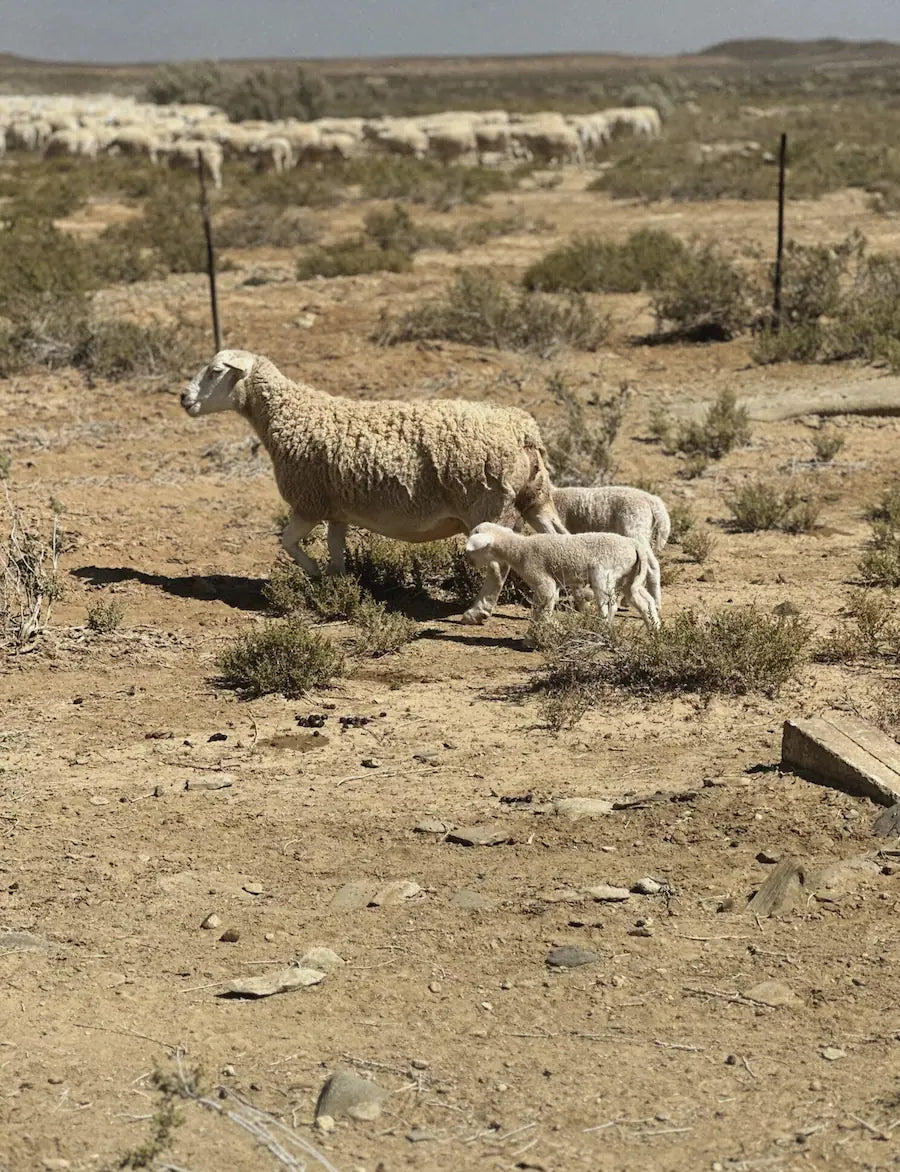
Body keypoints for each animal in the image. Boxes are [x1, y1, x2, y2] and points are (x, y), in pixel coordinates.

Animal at [180, 350, 567, 624]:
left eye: (215, 371)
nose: (184, 398)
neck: (287, 416)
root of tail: (524, 431)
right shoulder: (336, 509)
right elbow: (336, 549)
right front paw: (337, 585)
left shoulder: (308, 502)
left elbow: (287, 542)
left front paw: (314, 572)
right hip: (534, 496)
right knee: (561, 538)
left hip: (489, 505)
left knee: (498, 566)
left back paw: (477, 612)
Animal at [465, 523, 661, 630]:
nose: (468, 561)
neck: (520, 550)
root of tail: (634, 545)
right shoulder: (555, 583)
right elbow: (547, 606)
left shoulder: (542, 579)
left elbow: (542, 608)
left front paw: (536, 635)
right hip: (629, 576)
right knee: (644, 601)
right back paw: (655, 629)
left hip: (604, 572)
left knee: (609, 605)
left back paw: (601, 629)